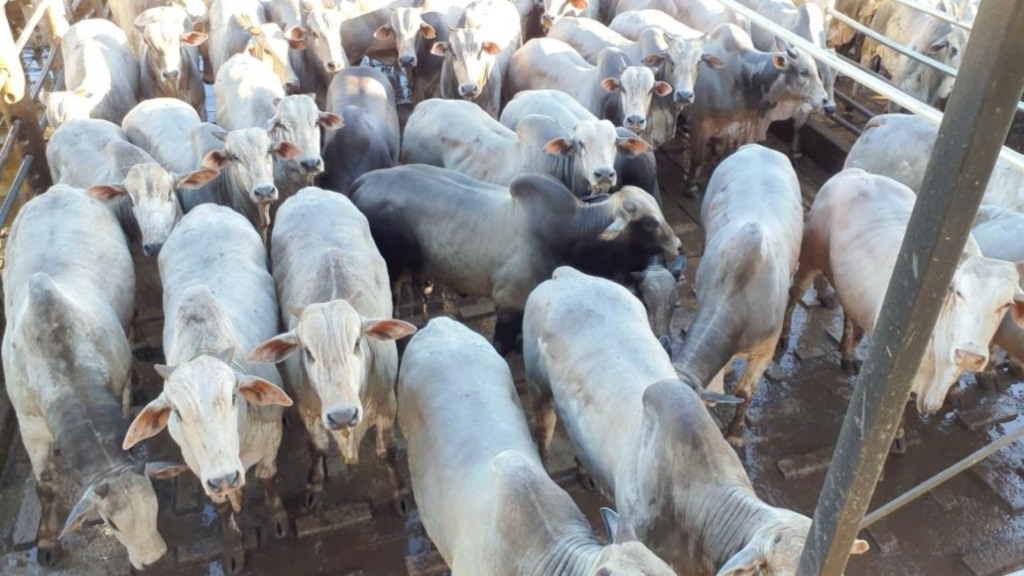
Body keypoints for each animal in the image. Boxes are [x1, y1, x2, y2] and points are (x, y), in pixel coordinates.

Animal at [122, 203, 296, 569]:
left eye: (233, 396)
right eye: (176, 412)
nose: (225, 478)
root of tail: (205, 207)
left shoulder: (271, 439)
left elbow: (267, 479)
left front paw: (278, 520)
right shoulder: (198, 465)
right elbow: (221, 507)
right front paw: (231, 548)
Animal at [247, 188, 415, 506]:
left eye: (357, 342)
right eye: (308, 352)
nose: (343, 415)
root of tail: (310, 190)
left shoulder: (388, 404)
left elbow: (387, 451)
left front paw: (399, 491)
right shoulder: (309, 410)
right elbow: (318, 446)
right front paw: (314, 483)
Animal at [782, 168, 1024, 446]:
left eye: (1005, 304)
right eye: (958, 292)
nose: (969, 355)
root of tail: (854, 172)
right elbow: (897, 409)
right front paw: (896, 438)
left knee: (849, 315)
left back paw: (848, 355)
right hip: (811, 258)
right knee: (794, 295)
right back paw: (785, 336)